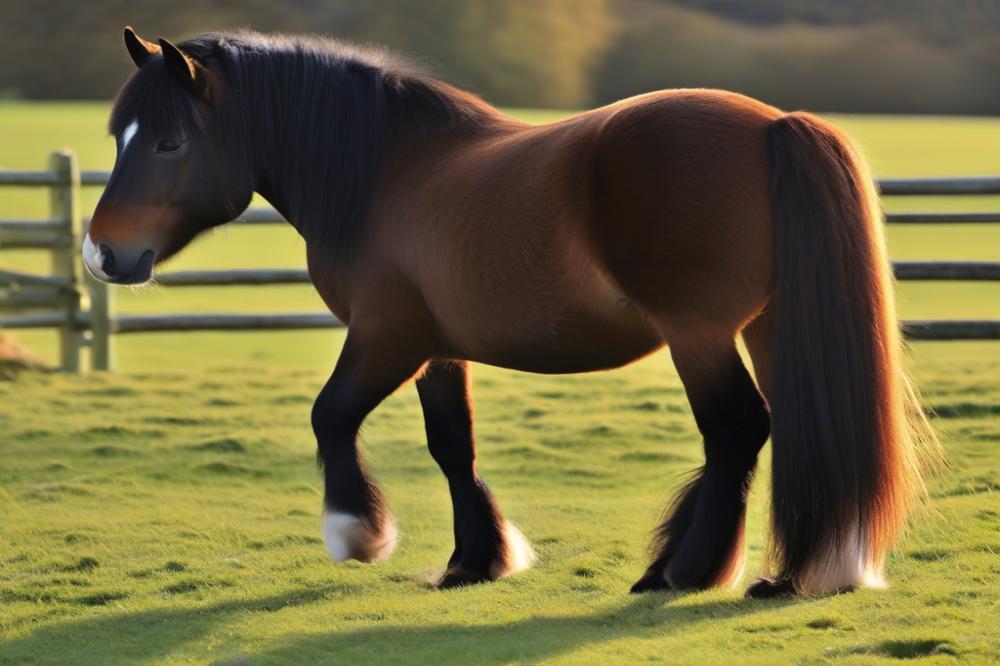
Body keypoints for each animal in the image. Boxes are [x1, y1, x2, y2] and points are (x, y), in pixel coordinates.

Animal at [88, 28, 928, 592]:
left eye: (168, 141)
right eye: (117, 134)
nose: (102, 255)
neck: (388, 173)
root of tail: (772, 124)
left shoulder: (386, 337)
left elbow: (331, 417)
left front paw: (358, 532)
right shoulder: (437, 350)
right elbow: (451, 448)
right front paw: (473, 560)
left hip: (700, 334)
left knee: (737, 429)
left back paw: (681, 570)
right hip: (765, 326)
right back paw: (797, 571)